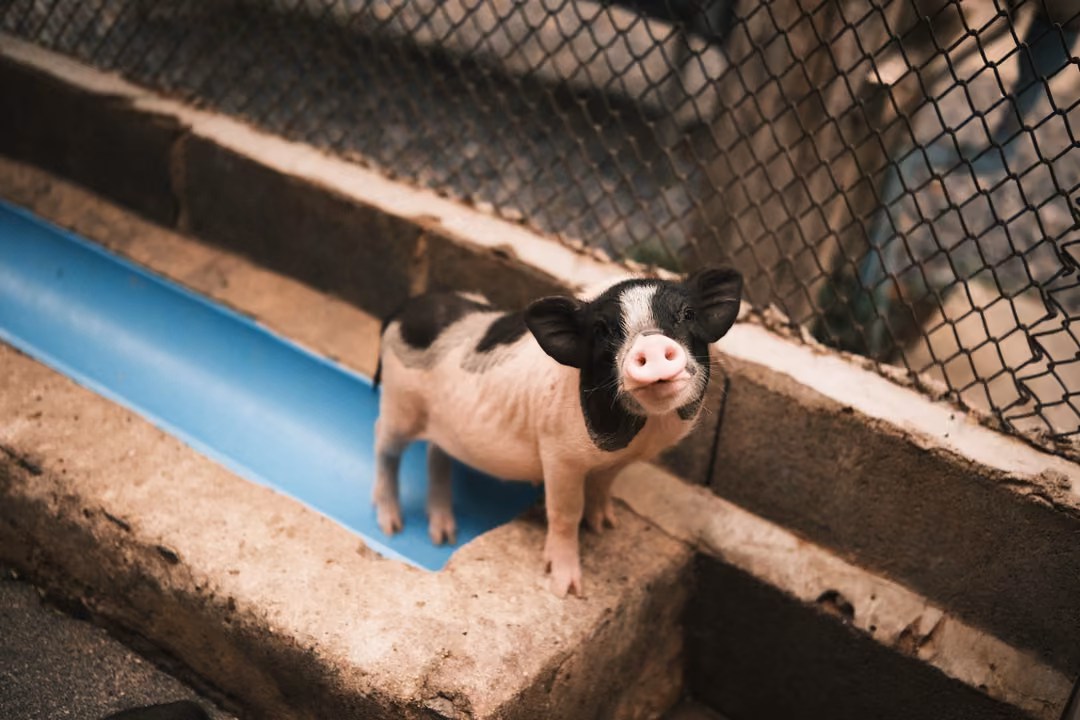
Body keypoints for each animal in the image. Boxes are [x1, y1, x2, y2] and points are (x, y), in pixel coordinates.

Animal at [372, 267, 743, 596]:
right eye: (602, 329)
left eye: (688, 314)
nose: (651, 345)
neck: (645, 430)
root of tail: (404, 309)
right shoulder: (559, 455)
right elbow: (565, 513)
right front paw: (568, 589)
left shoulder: (617, 461)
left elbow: (603, 485)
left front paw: (606, 526)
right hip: (399, 403)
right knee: (384, 443)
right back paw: (390, 524)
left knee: (437, 453)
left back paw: (444, 536)